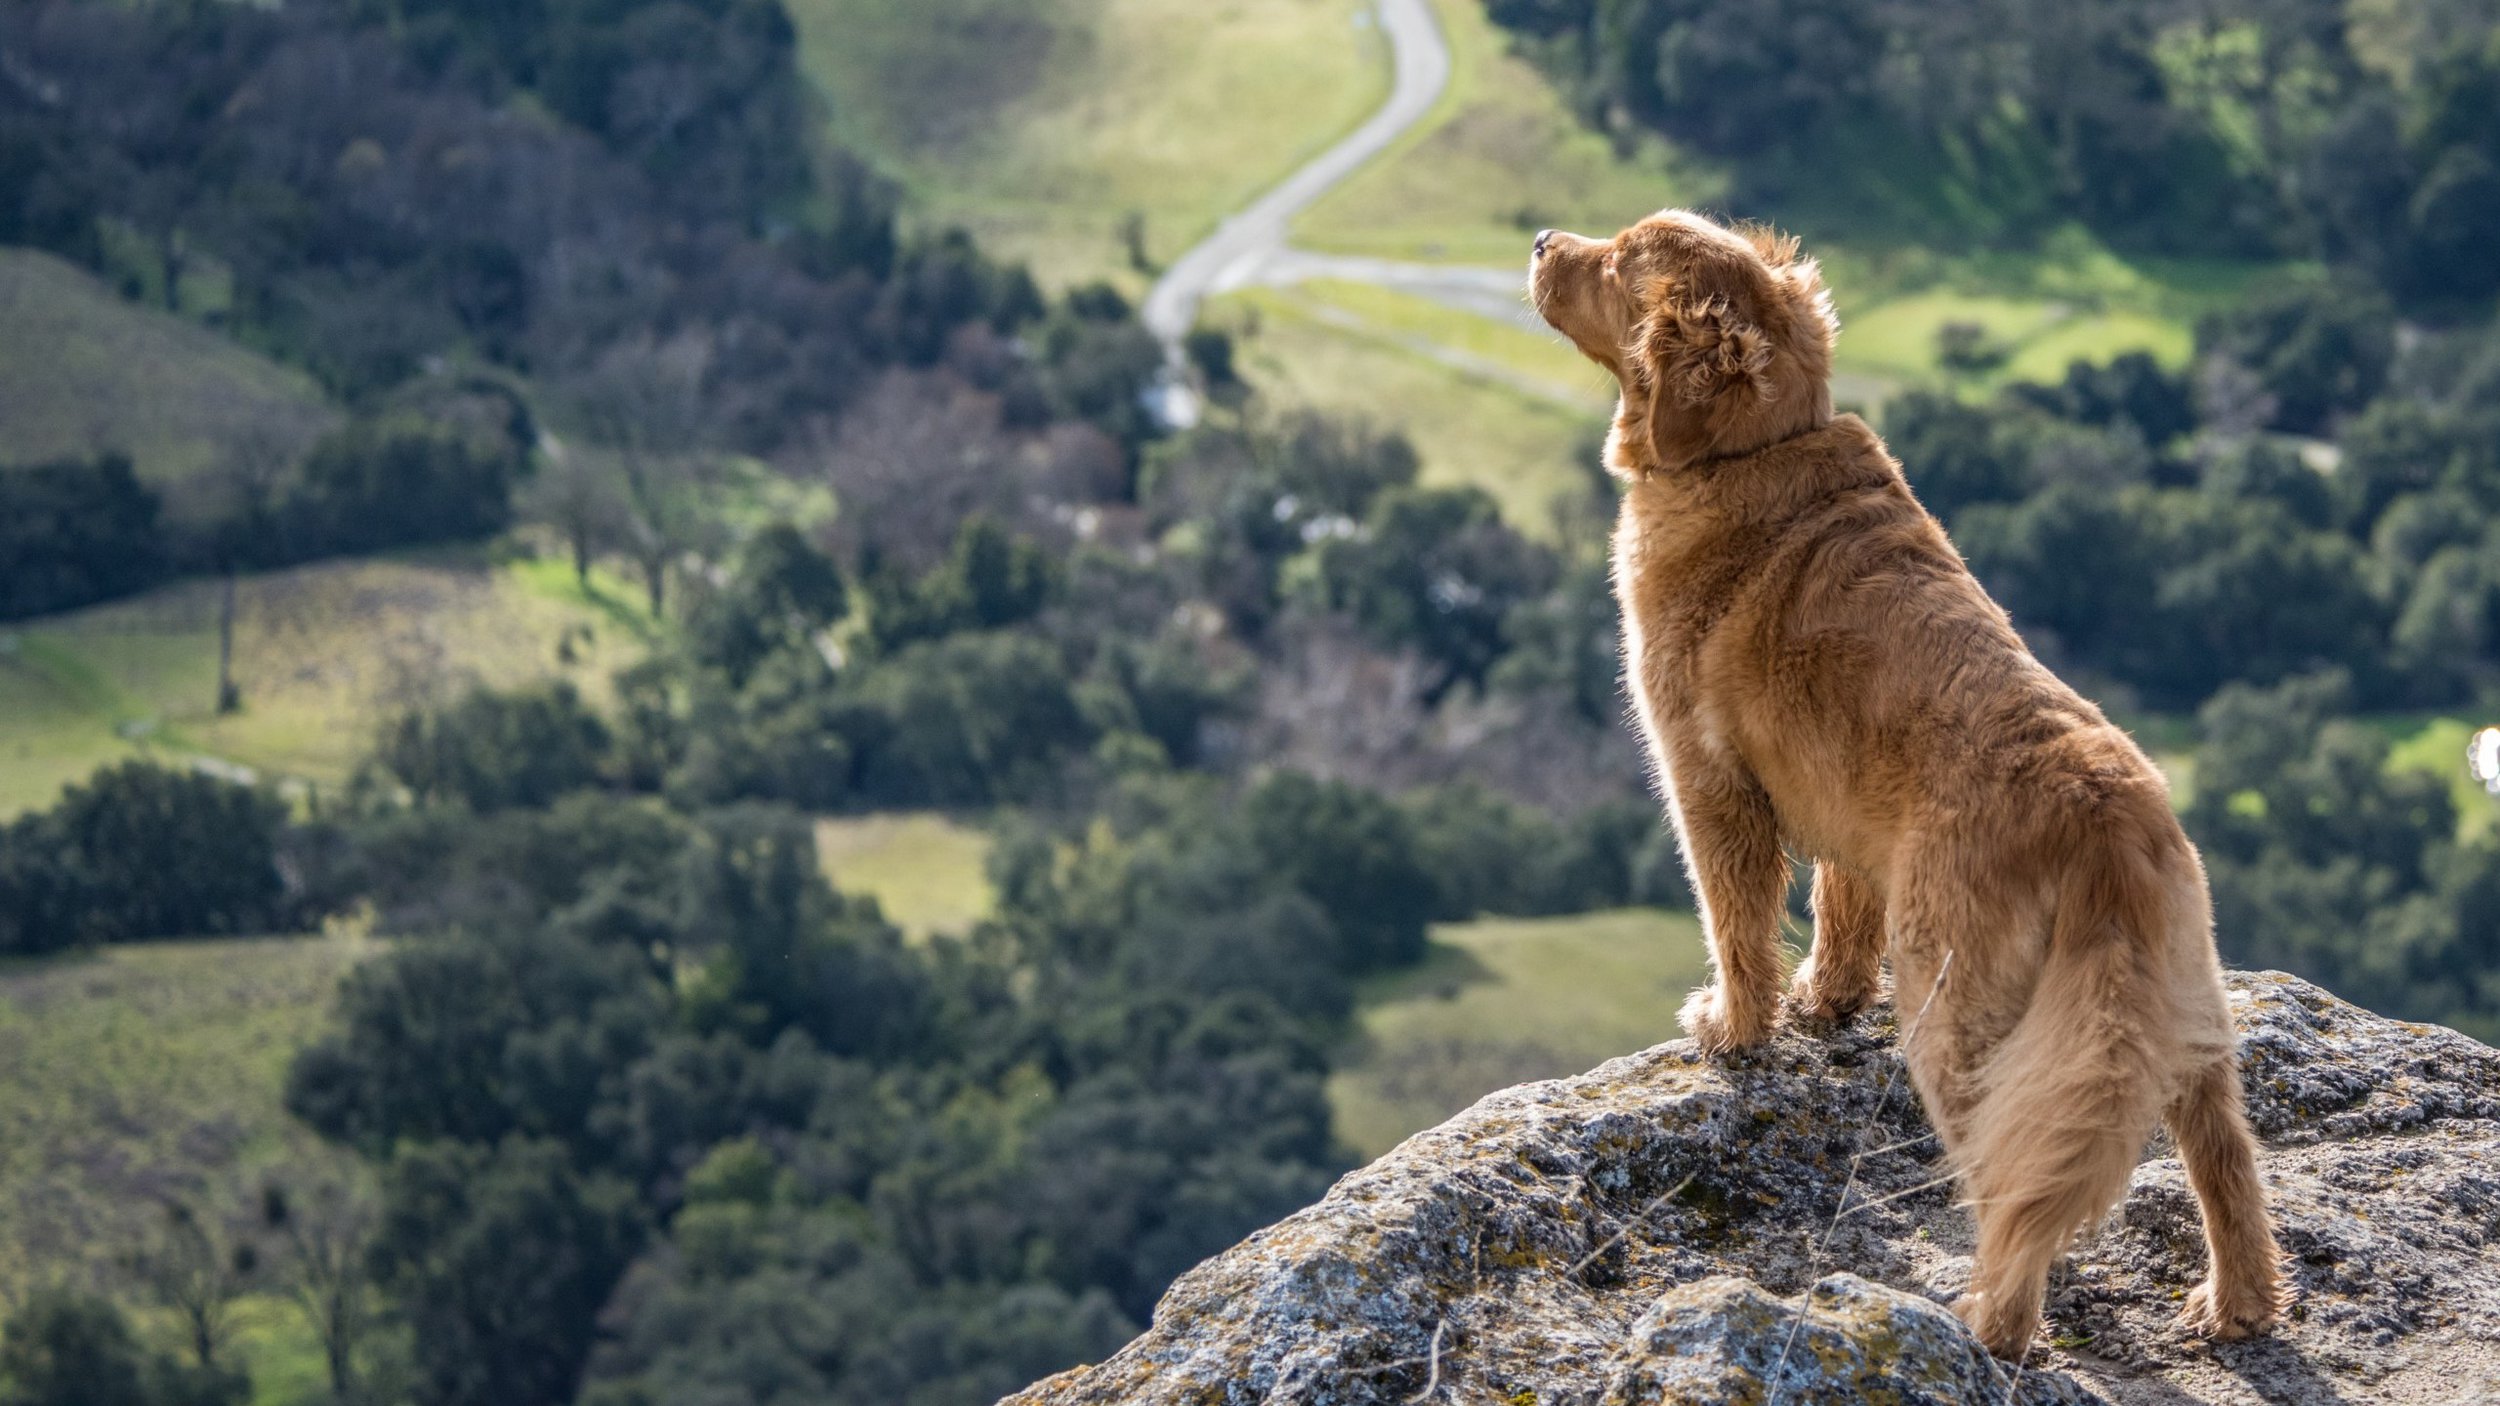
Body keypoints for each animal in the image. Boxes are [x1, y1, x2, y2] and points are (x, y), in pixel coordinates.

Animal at [1520, 210, 2290, 1360]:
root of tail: (2103, 814)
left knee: (2019, 1183)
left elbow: (1736, 920)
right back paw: (2234, 1303)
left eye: (1616, 259)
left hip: (1957, 1011)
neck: (1755, 447)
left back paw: (1989, 1322)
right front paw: (1825, 1001)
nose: (1538, 241)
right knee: (2225, 1163)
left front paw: (1733, 1025)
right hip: (2183, 1010)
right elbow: (1839, 910)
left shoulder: (1708, 779)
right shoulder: (1844, 808)